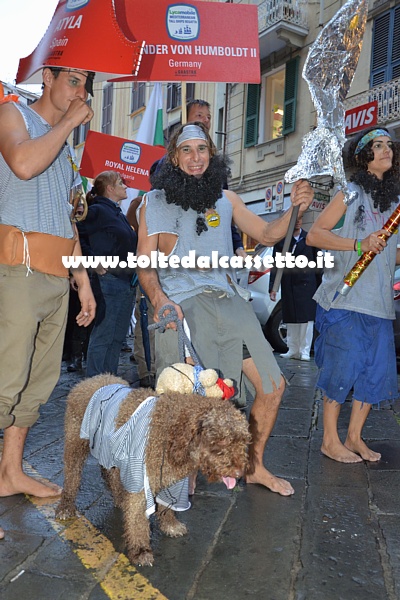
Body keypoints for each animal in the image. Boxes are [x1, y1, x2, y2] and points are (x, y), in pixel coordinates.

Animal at [55, 376, 250, 568]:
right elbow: (138, 520)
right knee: (72, 476)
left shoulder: (174, 482)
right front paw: (141, 551)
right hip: (75, 445)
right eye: (222, 441)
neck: (173, 433)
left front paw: (170, 525)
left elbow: (167, 507)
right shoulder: (140, 483)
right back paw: (65, 507)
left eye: (243, 441)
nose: (239, 473)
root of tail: (87, 381)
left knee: (110, 475)